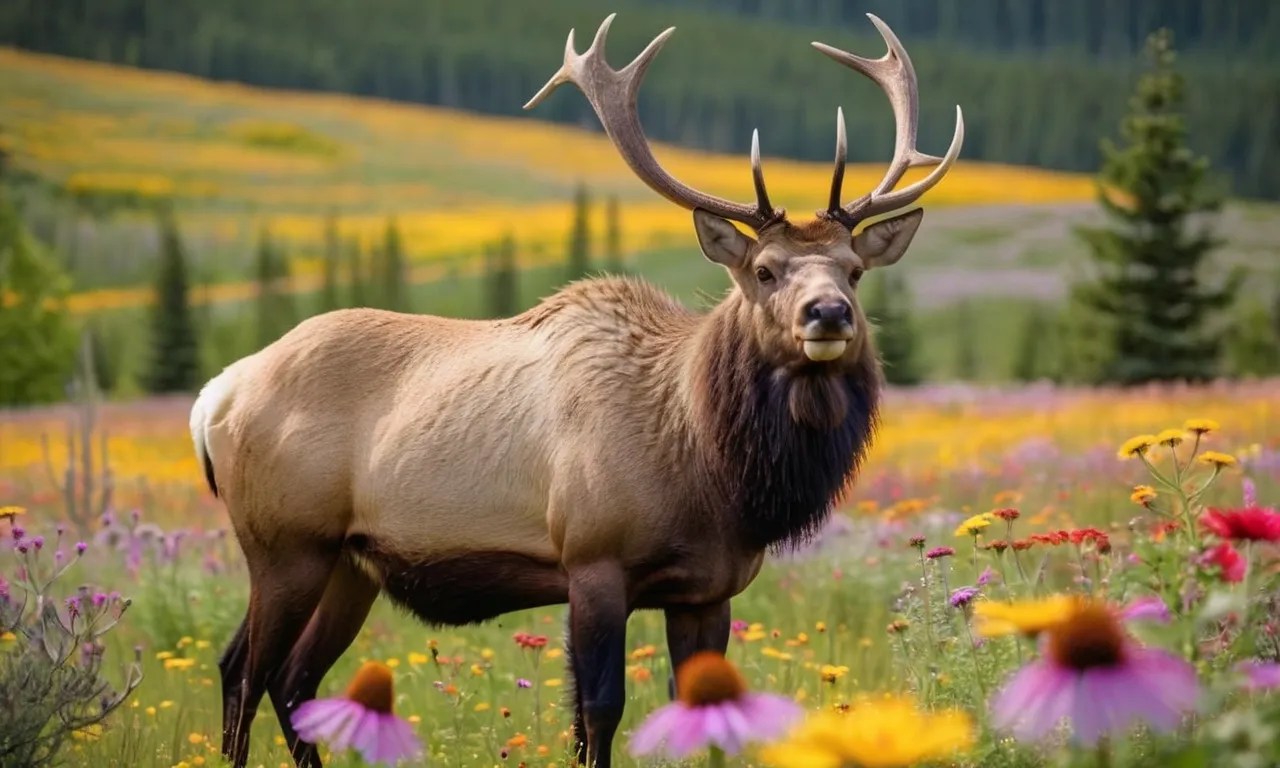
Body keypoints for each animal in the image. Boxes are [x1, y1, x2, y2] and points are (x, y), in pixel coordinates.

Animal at [190, 13, 962, 768]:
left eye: (854, 269)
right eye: (765, 270)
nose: (828, 314)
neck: (711, 469)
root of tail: (212, 399)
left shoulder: (708, 589)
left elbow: (704, 717)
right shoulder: (592, 560)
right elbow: (598, 713)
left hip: (353, 563)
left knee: (293, 679)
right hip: (284, 542)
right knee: (245, 671)